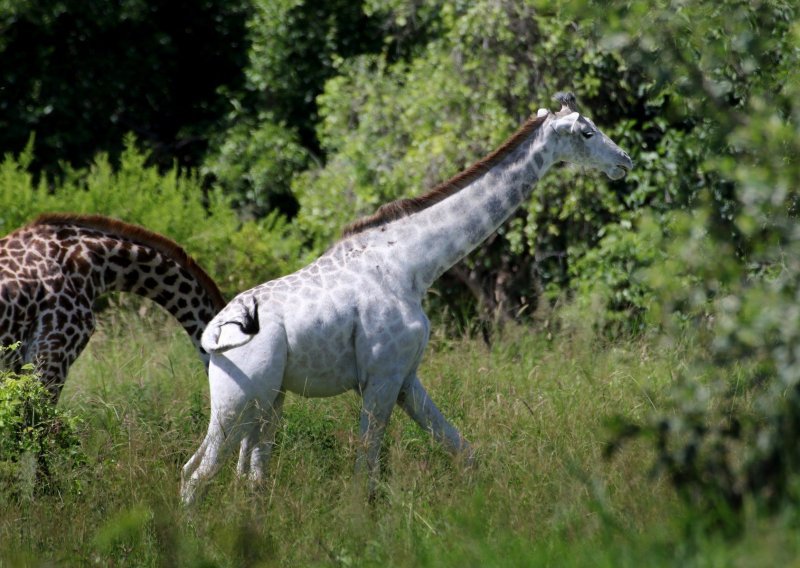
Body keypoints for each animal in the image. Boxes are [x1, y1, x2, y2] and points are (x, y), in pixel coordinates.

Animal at [180, 93, 632, 506]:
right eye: (587, 132)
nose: (624, 161)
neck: (412, 264)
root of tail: (213, 335)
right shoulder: (381, 377)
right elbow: (365, 472)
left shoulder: (406, 377)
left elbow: (463, 451)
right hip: (239, 401)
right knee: (198, 473)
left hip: (268, 401)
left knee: (242, 475)